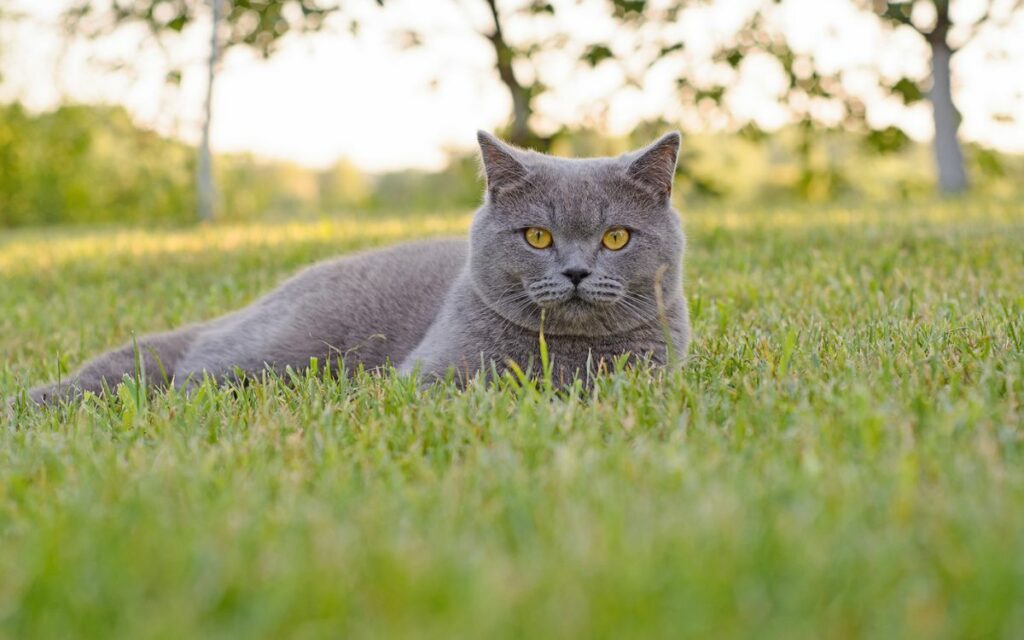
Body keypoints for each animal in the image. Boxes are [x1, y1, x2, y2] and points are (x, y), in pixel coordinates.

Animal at [24, 132, 692, 407]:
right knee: (195, 374)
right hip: (280, 349)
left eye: (615, 237)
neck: (567, 354)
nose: (577, 271)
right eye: (537, 236)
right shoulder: (433, 376)